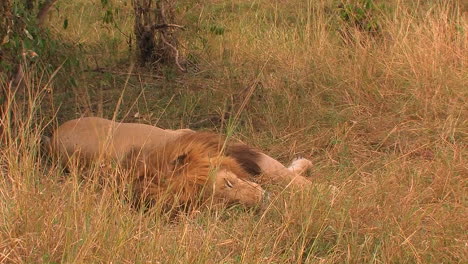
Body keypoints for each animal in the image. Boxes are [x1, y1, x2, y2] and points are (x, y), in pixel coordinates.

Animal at [49, 117, 312, 208]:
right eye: (227, 204)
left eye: (228, 183)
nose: (263, 200)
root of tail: (52, 137)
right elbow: (284, 176)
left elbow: (283, 173)